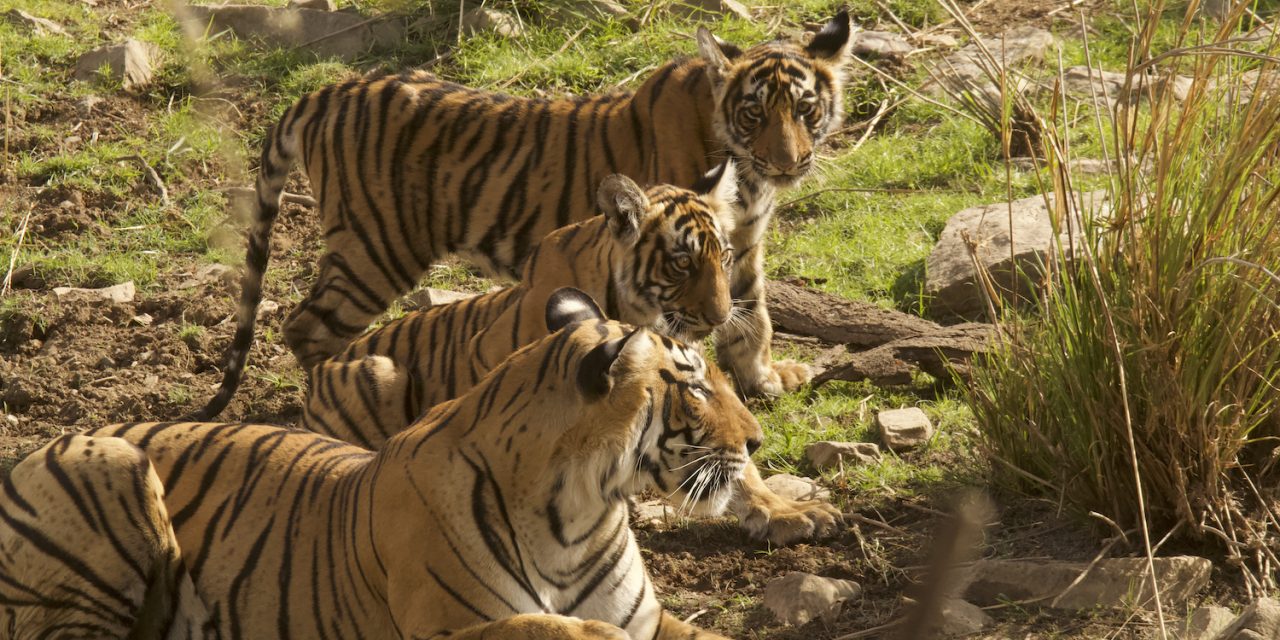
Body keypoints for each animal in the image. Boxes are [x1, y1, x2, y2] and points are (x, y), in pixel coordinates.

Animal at [0, 289, 758, 640]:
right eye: (694, 386)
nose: (755, 441)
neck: (583, 509)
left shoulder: (652, 621)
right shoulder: (447, 627)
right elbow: (552, 627)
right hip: (111, 470)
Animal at [195, 10, 855, 420]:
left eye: (805, 108)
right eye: (754, 113)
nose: (789, 161)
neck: (748, 175)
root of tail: (328, 89)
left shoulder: (740, 243)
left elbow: (752, 316)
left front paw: (764, 381)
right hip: (375, 250)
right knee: (306, 327)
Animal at [302, 165, 841, 545]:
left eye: (724, 257)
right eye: (682, 261)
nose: (722, 314)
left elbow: (735, 460)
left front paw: (785, 512)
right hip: (382, 370)